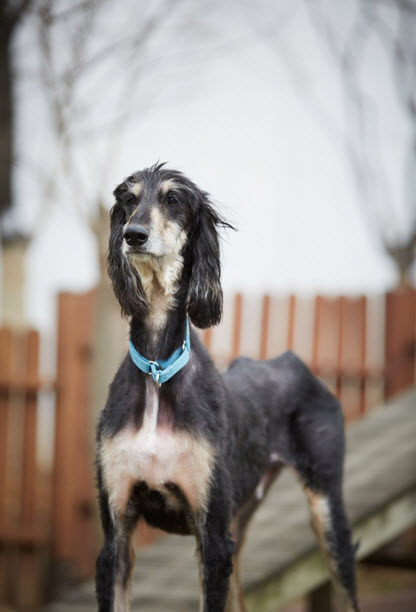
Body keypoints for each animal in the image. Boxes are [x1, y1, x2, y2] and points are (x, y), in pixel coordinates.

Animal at [96, 164, 360, 612]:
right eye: (129, 199)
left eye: (173, 199)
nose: (133, 235)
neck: (157, 370)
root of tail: (291, 360)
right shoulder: (117, 532)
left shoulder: (213, 536)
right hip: (240, 515)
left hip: (326, 506)